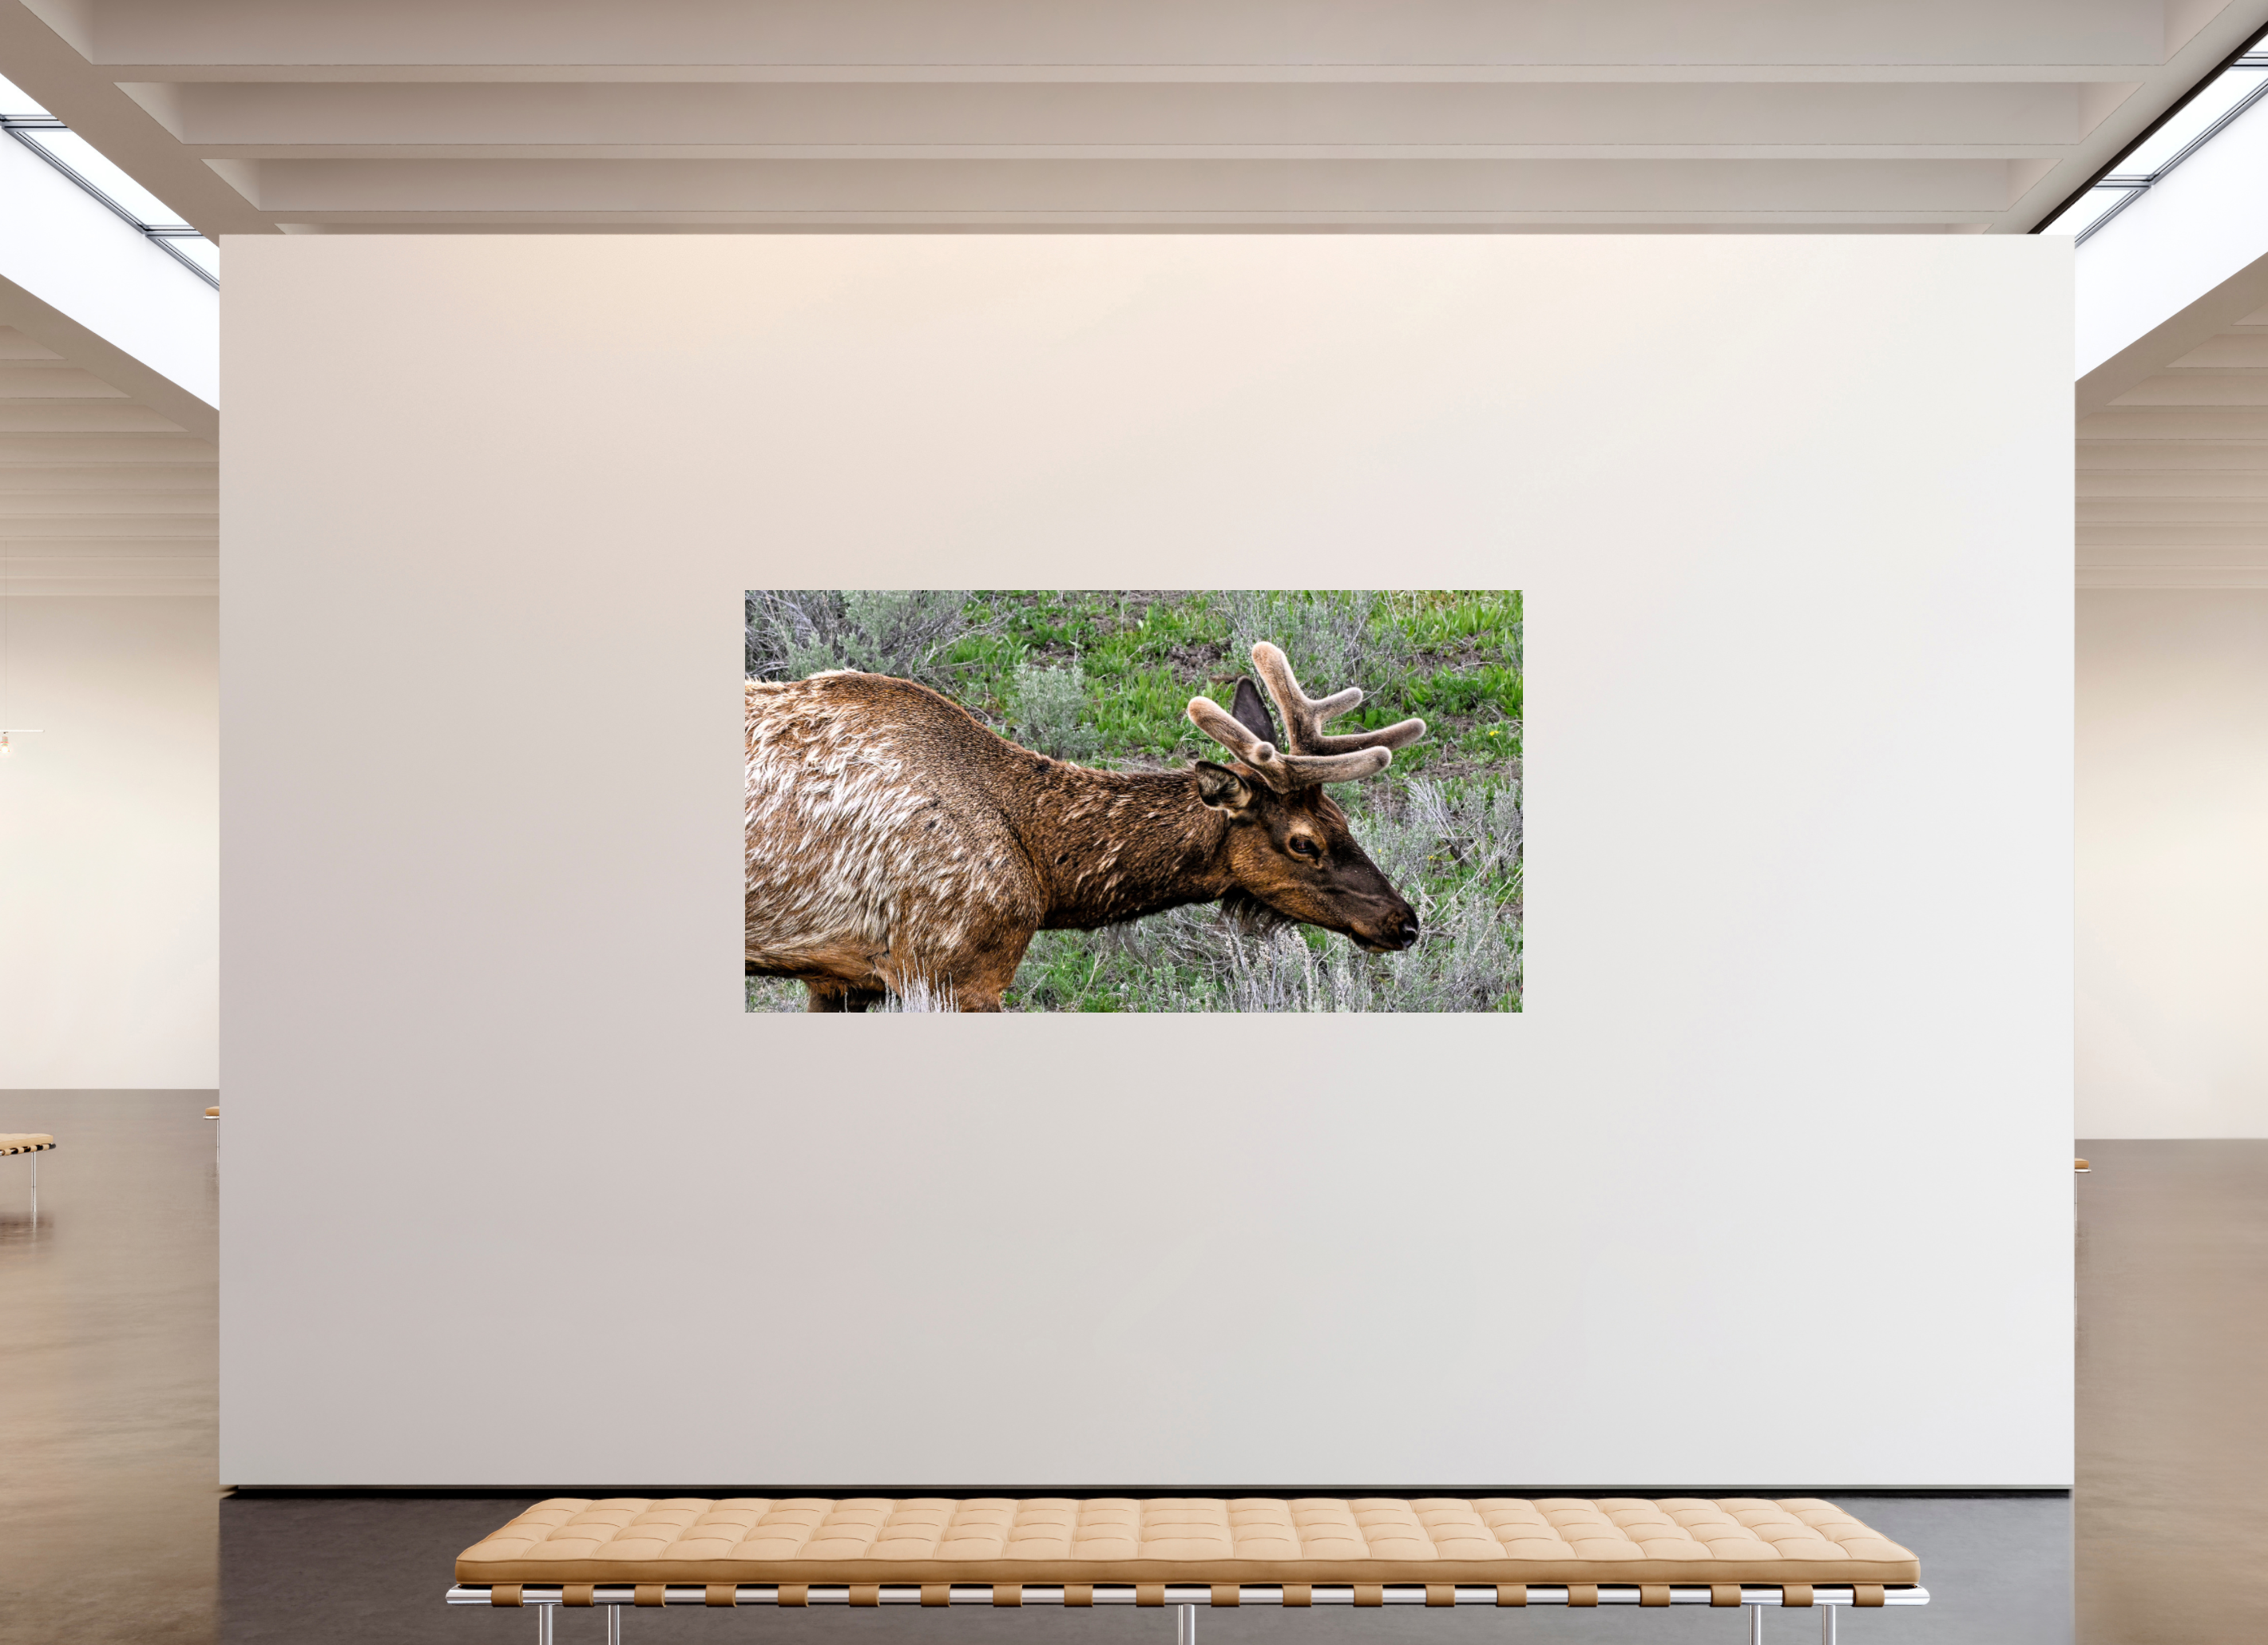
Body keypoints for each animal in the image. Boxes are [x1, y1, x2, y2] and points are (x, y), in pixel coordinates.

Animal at [745, 642, 1425, 1011]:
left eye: (1343, 819)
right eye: (1303, 842)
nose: (1405, 922)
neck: (1047, 878)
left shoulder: (843, 977)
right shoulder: (950, 969)